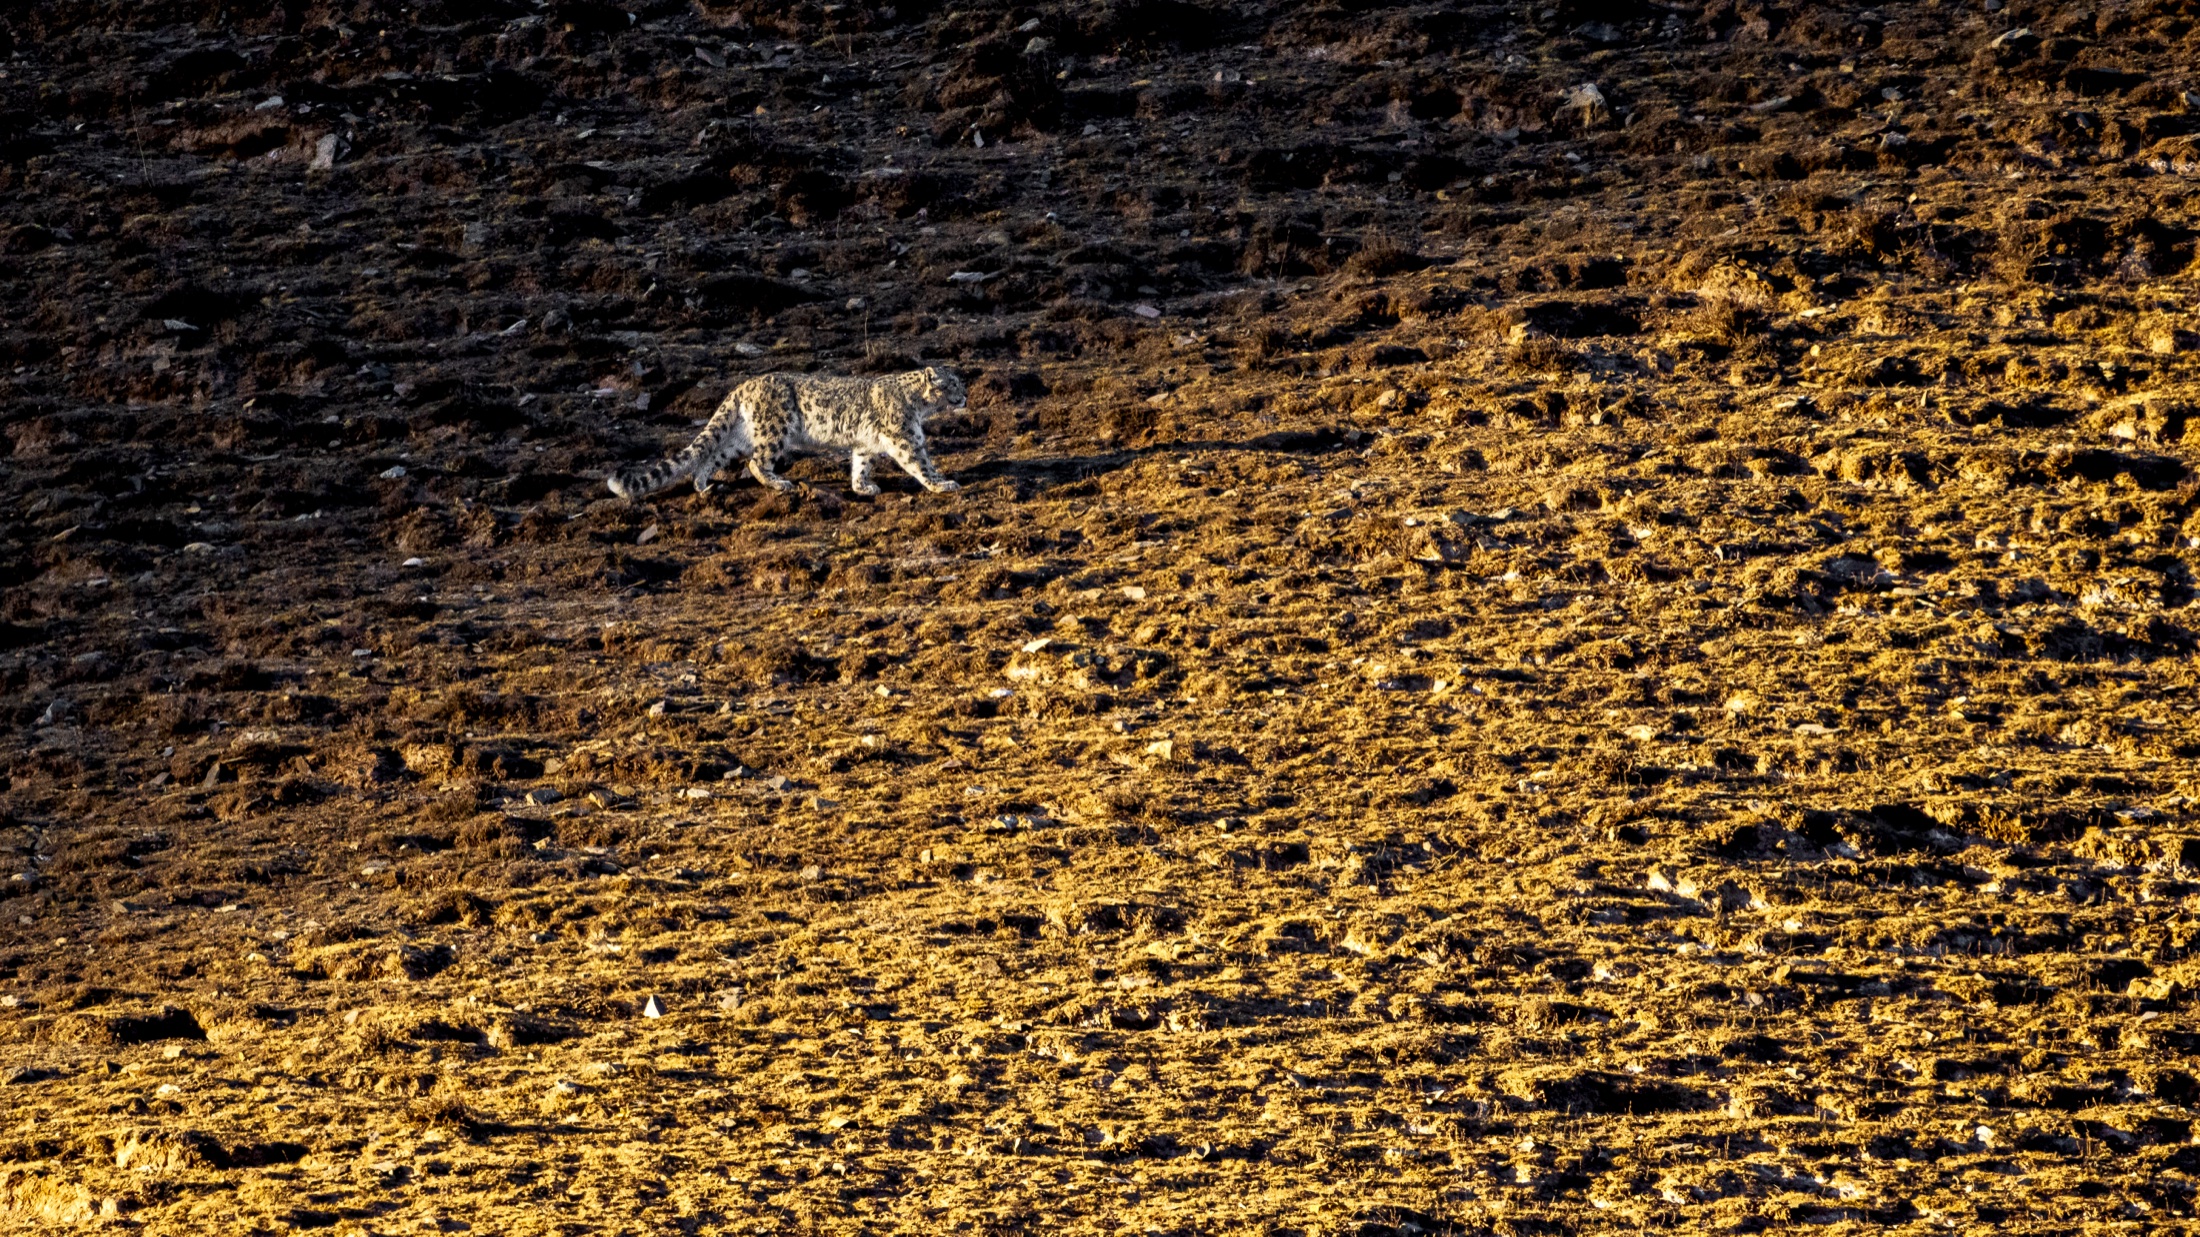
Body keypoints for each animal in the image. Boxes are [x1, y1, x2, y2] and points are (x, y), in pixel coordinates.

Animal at [605, 366, 965, 500]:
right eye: (952, 384)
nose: (965, 396)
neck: (920, 406)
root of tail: (743, 386)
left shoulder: (865, 444)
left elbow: (861, 463)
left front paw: (862, 487)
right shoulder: (907, 438)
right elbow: (922, 463)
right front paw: (943, 484)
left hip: (740, 437)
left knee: (712, 456)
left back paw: (703, 486)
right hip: (774, 430)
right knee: (755, 462)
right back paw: (779, 483)